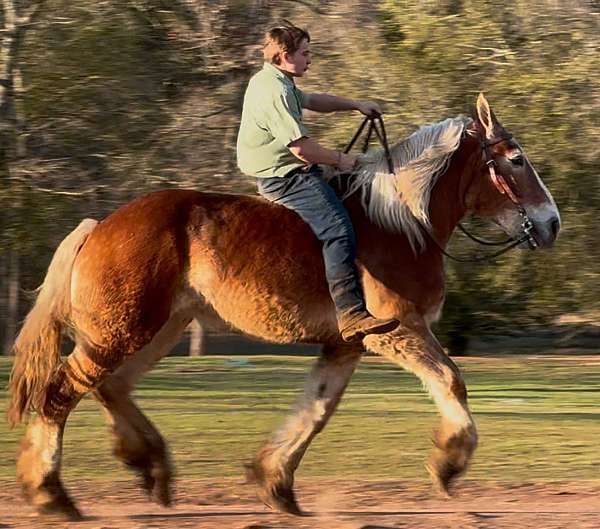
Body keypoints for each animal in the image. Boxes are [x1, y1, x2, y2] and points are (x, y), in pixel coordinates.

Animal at [8, 93, 556, 516]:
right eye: (515, 159)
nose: (551, 223)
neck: (401, 222)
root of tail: (99, 226)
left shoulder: (348, 344)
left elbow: (317, 408)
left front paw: (275, 482)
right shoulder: (399, 330)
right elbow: (449, 380)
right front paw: (448, 463)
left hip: (158, 328)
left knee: (112, 388)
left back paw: (151, 465)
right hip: (120, 332)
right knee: (59, 392)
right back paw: (51, 493)